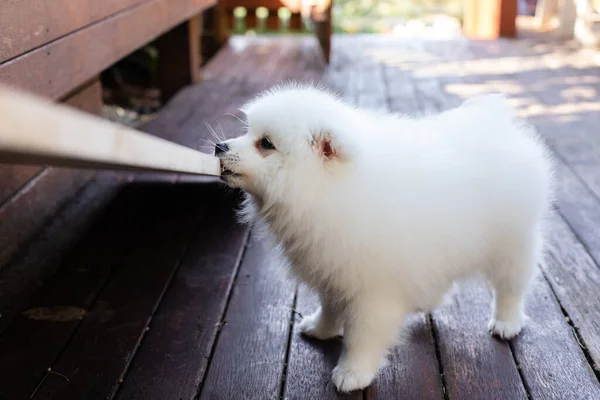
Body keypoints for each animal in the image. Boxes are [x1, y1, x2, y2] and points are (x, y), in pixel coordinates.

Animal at [214, 83, 552, 390]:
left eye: (266, 144)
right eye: (248, 133)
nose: (220, 147)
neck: (329, 190)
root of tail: (496, 123)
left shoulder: (371, 290)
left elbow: (362, 336)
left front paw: (352, 373)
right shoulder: (334, 268)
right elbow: (330, 307)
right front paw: (322, 329)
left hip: (512, 242)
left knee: (511, 285)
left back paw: (506, 321)